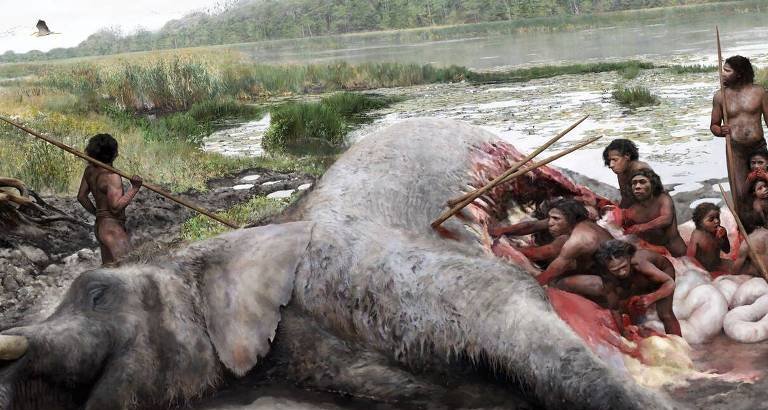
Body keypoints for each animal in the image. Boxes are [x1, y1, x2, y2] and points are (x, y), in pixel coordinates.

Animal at [0, 118, 676, 409]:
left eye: (96, 292)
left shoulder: (388, 268)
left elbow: (526, 318)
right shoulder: (325, 359)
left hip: (514, 154)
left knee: (564, 182)